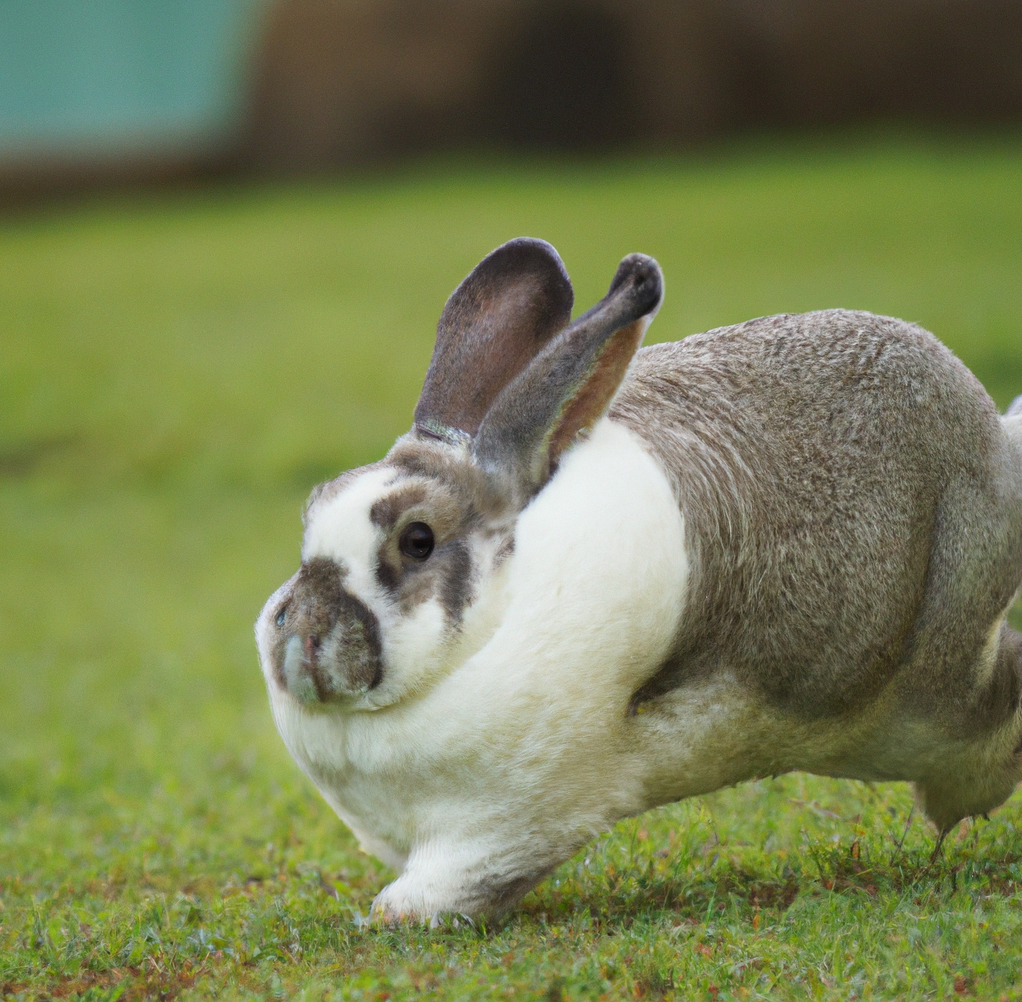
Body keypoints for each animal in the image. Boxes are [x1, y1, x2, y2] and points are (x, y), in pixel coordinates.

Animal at [255, 237, 1022, 922]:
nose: (303, 635)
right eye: (313, 511)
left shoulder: (502, 830)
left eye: (417, 540)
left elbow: (439, 893)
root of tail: (995, 441)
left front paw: (393, 914)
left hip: (941, 671)